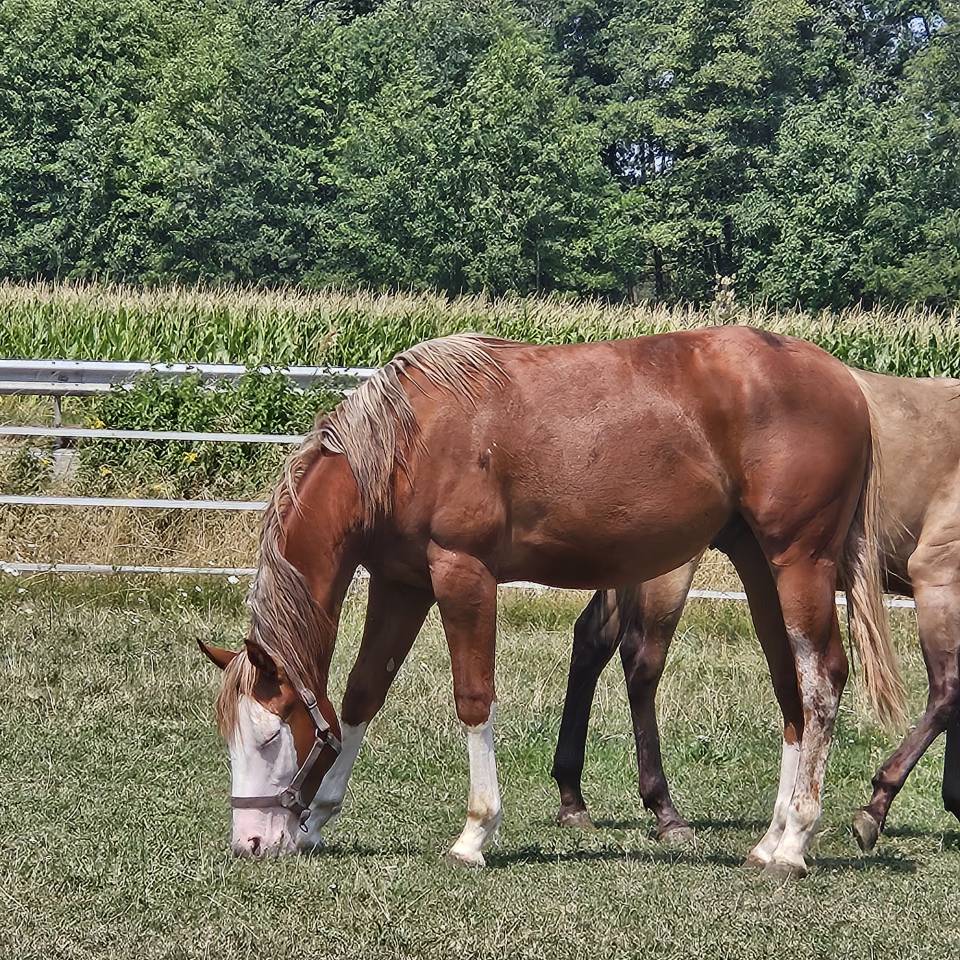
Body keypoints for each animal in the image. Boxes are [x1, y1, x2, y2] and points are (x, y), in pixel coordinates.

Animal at [196, 327, 900, 877]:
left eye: (269, 735)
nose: (251, 843)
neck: (406, 443)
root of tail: (846, 383)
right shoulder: (402, 585)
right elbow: (361, 696)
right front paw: (318, 822)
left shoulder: (463, 573)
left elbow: (473, 698)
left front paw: (475, 833)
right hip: (759, 566)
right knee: (791, 688)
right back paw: (771, 841)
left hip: (800, 562)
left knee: (822, 679)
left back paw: (796, 842)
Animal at [551, 367, 960, 857]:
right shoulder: (937, 577)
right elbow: (946, 694)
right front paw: (875, 807)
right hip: (669, 569)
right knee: (641, 661)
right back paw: (664, 809)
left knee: (592, 642)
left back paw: (573, 796)